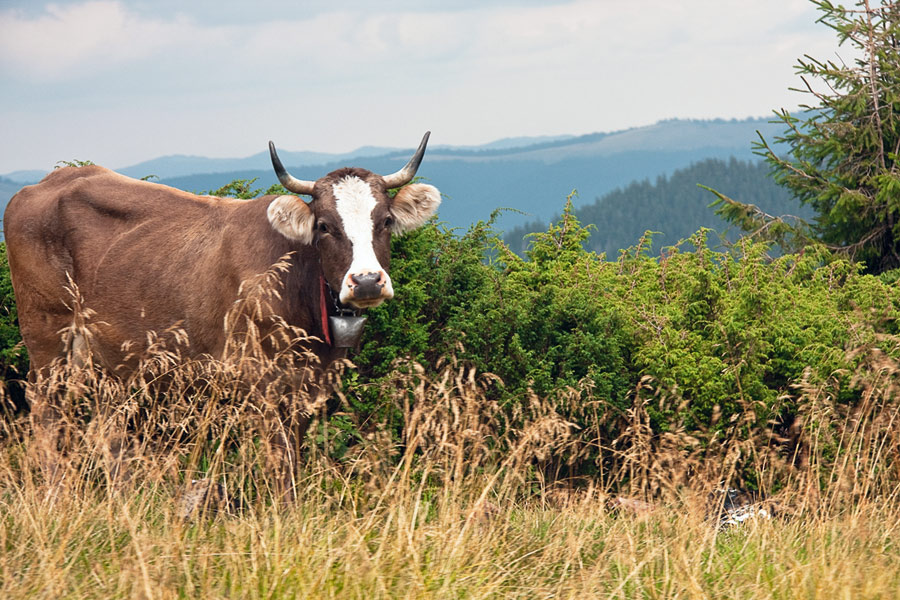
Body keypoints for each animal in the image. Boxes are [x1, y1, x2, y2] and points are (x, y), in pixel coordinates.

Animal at [5, 132, 442, 492]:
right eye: (323, 225)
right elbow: (281, 464)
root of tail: (47, 183)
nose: (366, 281)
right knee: (45, 411)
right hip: (47, 334)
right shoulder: (263, 381)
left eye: (385, 221)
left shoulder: (307, 386)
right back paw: (56, 493)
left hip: (105, 355)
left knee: (105, 423)